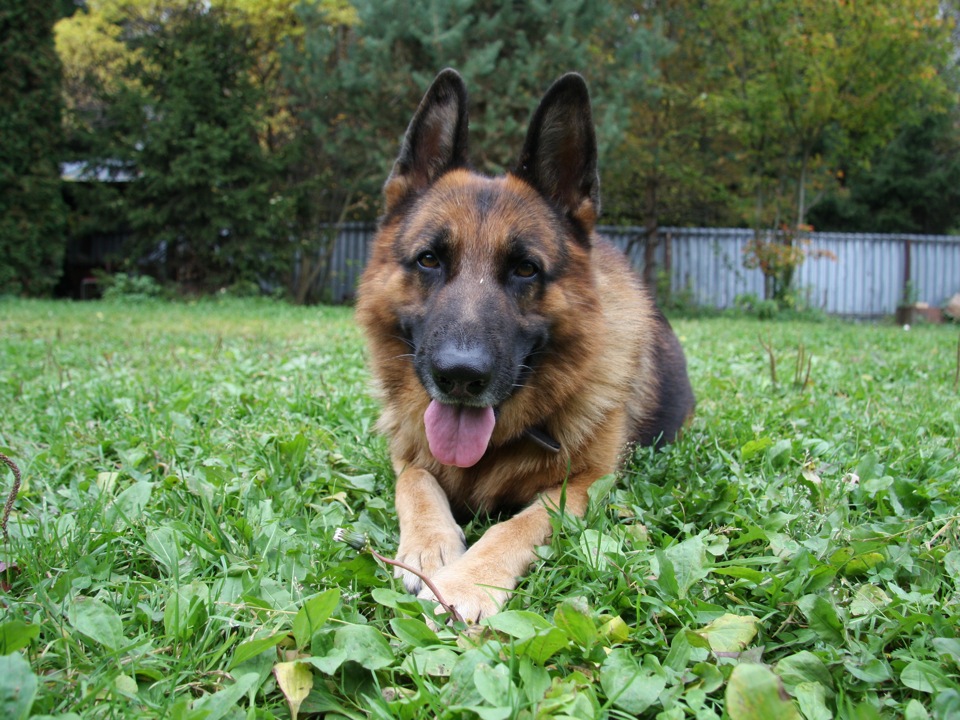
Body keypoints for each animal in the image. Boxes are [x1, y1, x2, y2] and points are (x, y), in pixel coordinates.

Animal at [356, 70, 692, 620]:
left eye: (525, 269)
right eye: (429, 259)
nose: (460, 376)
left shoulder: (583, 487)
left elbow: (519, 524)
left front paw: (468, 582)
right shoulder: (405, 455)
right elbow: (417, 484)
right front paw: (430, 546)